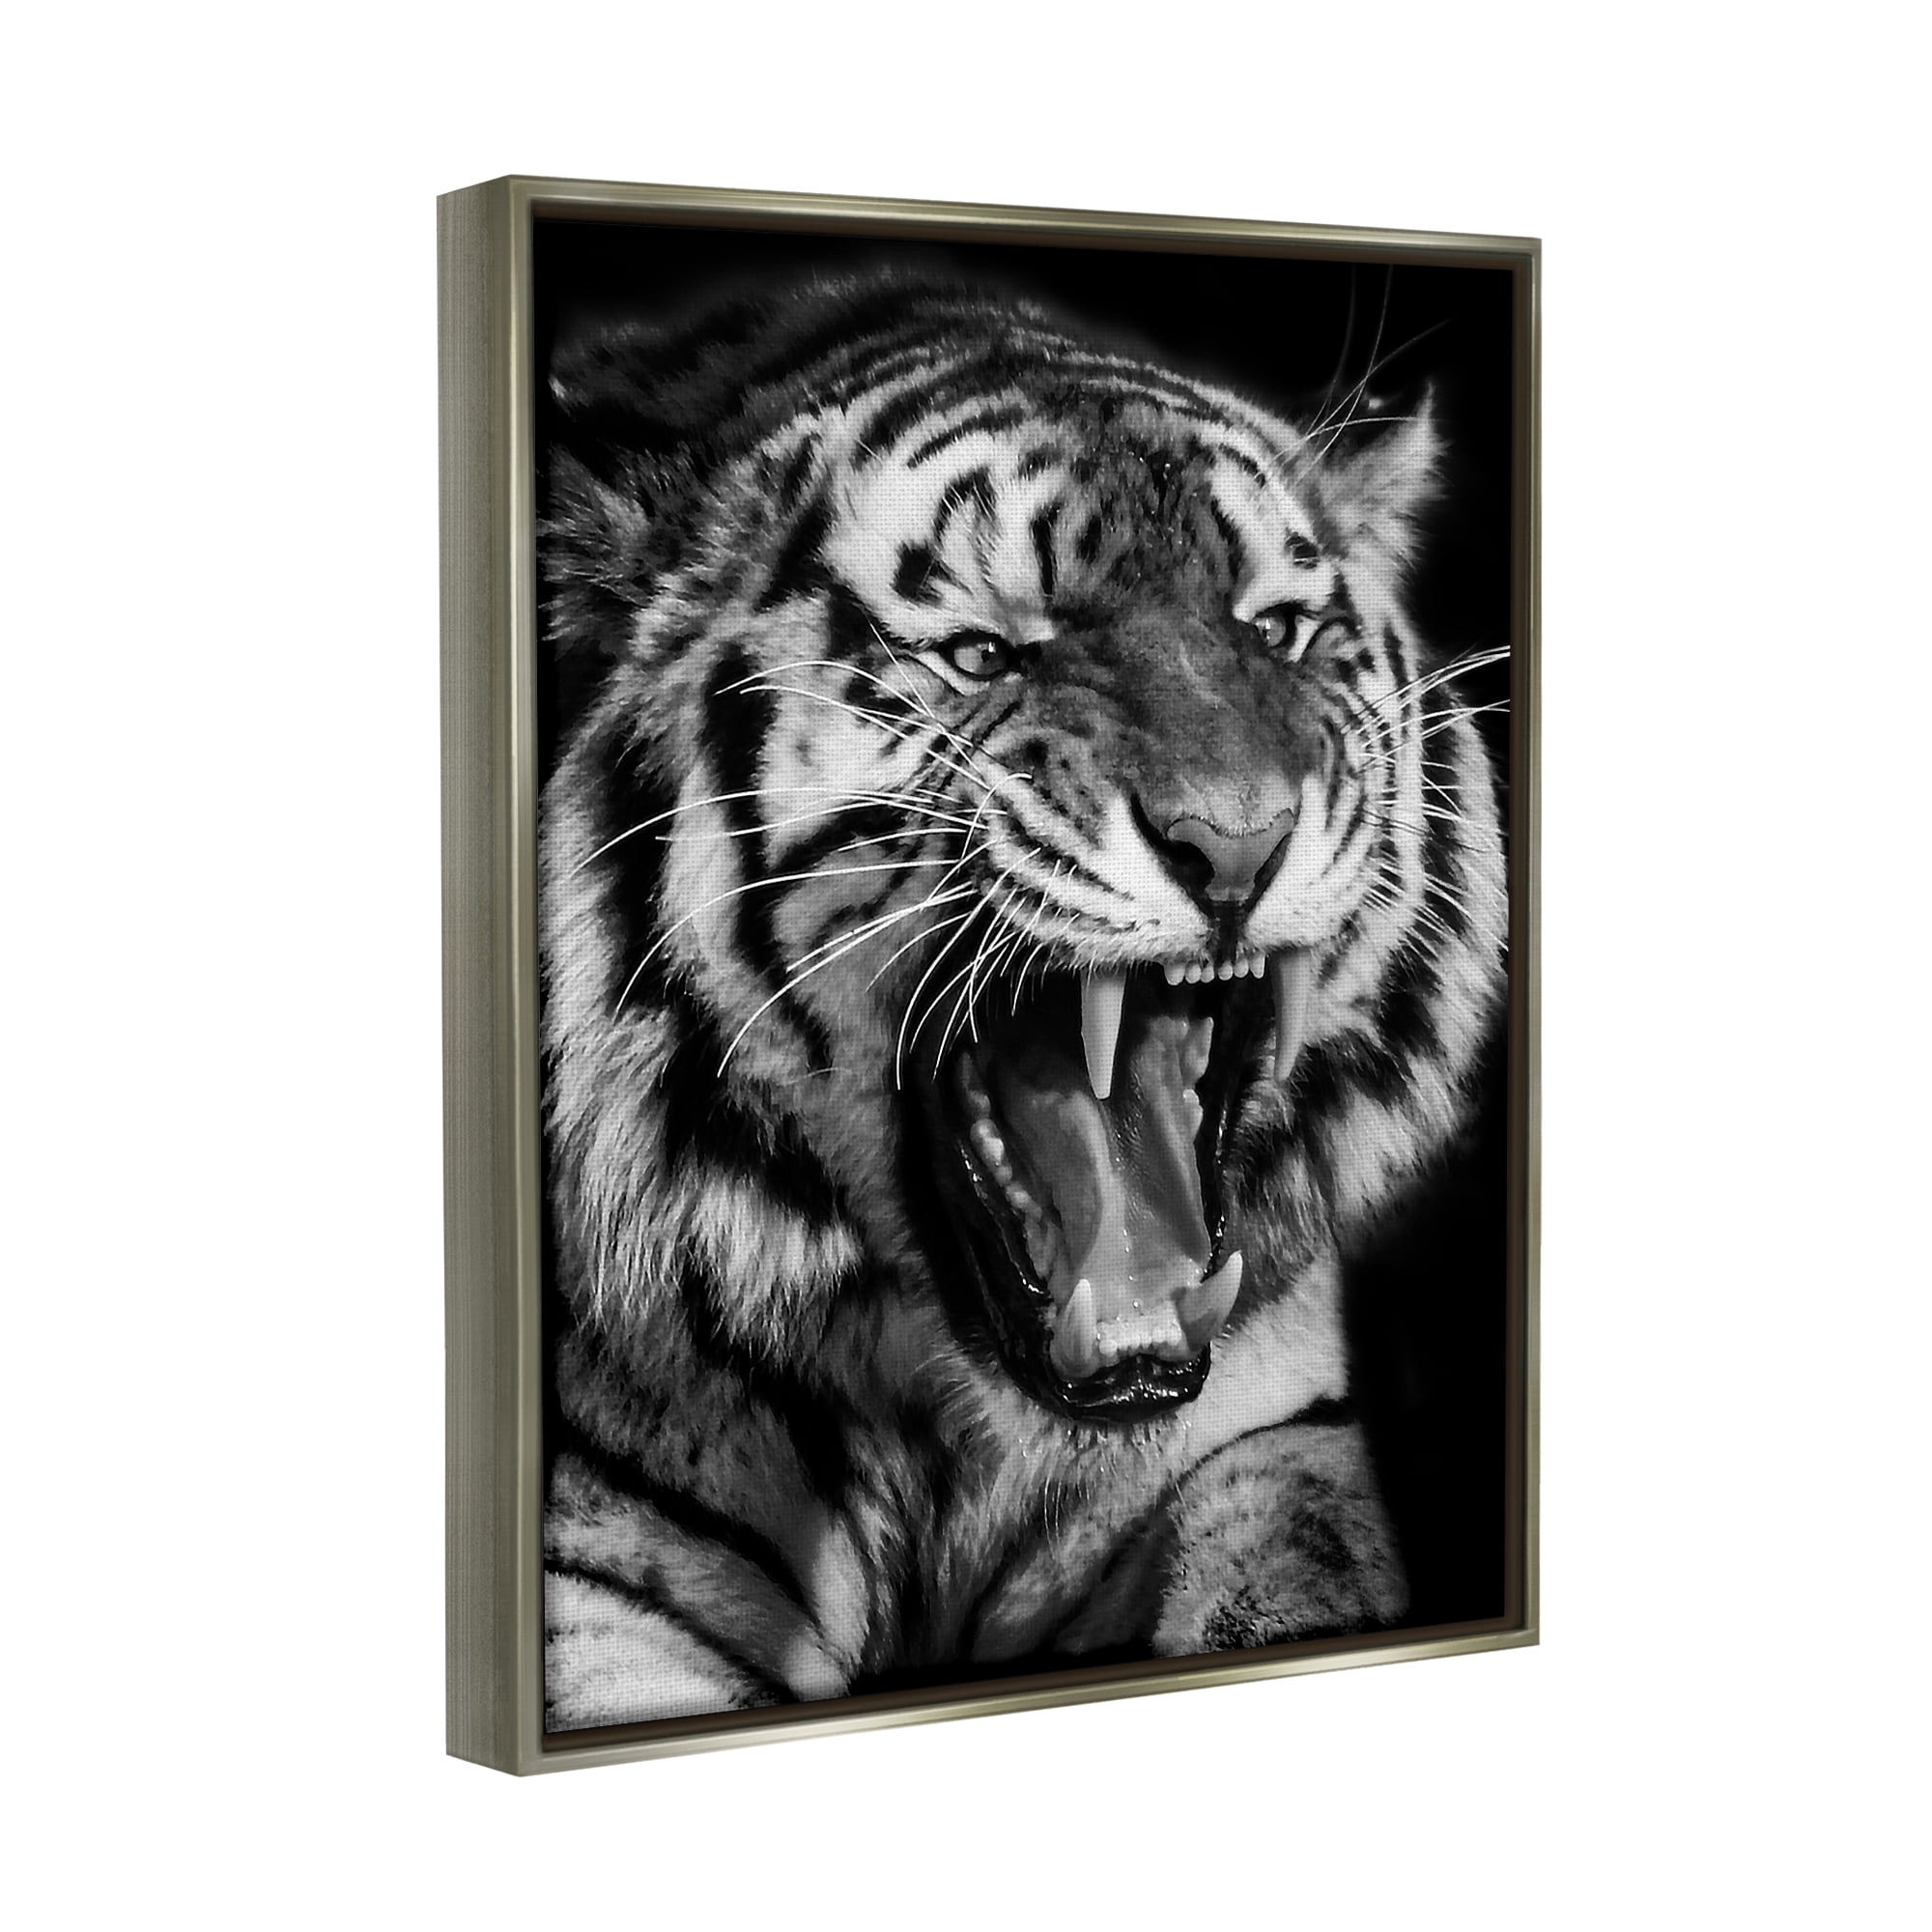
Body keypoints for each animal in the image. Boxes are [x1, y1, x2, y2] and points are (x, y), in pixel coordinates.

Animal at [537, 273, 1508, 1731]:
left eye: (1276, 631)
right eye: (985, 654)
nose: (1238, 844)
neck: (947, 1440)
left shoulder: (1263, 1440)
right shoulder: (594, 1569)